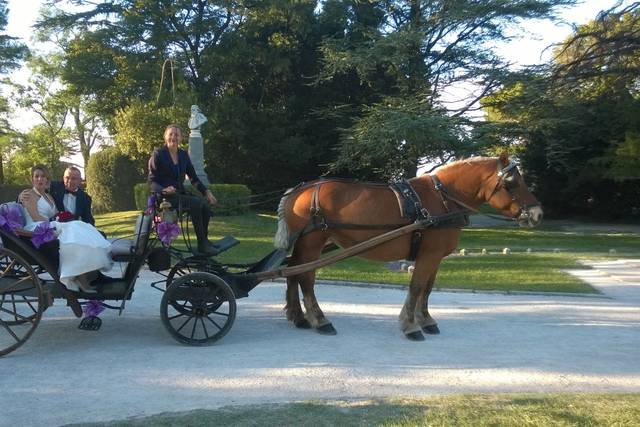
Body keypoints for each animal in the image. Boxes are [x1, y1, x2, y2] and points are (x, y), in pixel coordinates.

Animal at [272, 154, 544, 342]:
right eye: (511, 184)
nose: (537, 213)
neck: (443, 199)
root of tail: (300, 189)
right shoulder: (428, 255)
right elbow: (416, 288)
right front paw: (411, 326)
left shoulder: (435, 257)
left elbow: (427, 289)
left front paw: (426, 320)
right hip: (312, 242)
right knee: (305, 278)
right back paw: (320, 320)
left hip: (305, 244)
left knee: (293, 272)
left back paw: (298, 316)